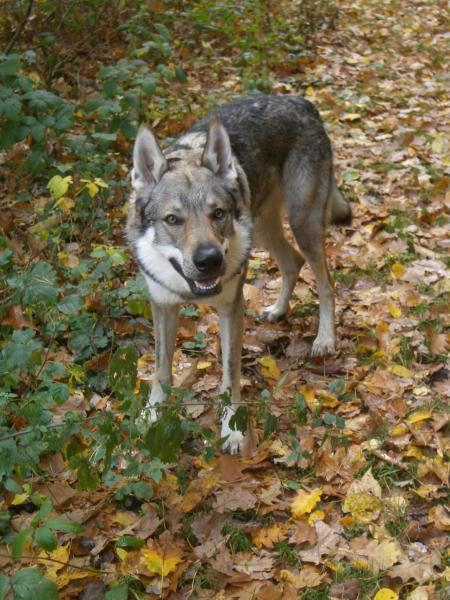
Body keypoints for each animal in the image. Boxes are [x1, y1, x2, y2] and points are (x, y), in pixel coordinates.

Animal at [126, 94, 352, 452]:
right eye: (173, 219)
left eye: (217, 214)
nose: (209, 260)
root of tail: (301, 101)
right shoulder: (162, 305)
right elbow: (161, 370)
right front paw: (151, 415)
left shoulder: (232, 308)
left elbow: (230, 373)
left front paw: (233, 430)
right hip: (262, 228)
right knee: (293, 263)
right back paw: (278, 310)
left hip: (302, 224)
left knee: (326, 283)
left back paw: (324, 339)